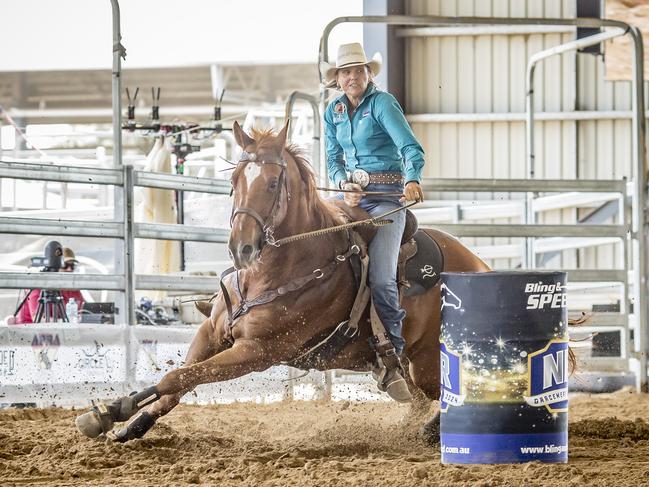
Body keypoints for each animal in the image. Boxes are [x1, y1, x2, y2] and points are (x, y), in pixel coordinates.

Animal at [76, 121, 488, 442]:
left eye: (274, 183)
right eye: (235, 179)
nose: (240, 248)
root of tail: (479, 265)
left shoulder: (257, 351)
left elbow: (178, 376)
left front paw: (112, 409)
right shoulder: (211, 333)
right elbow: (177, 382)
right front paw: (121, 419)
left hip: (429, 365)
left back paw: (433, 431)